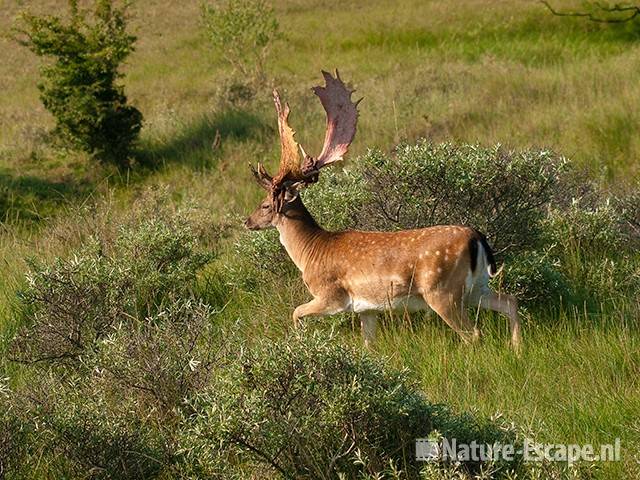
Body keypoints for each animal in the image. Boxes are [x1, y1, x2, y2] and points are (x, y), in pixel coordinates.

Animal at [244, 70, 520, 348]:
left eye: (265, 204)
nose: (247, 221)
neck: (310, 252)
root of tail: (477, 238)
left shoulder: (331, 296)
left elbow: (296, 312)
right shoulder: (367, 309)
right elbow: (368, 344)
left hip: (442, 290)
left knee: (473, 333)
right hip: (476, 286)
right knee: (510, 301)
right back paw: (517, 348)